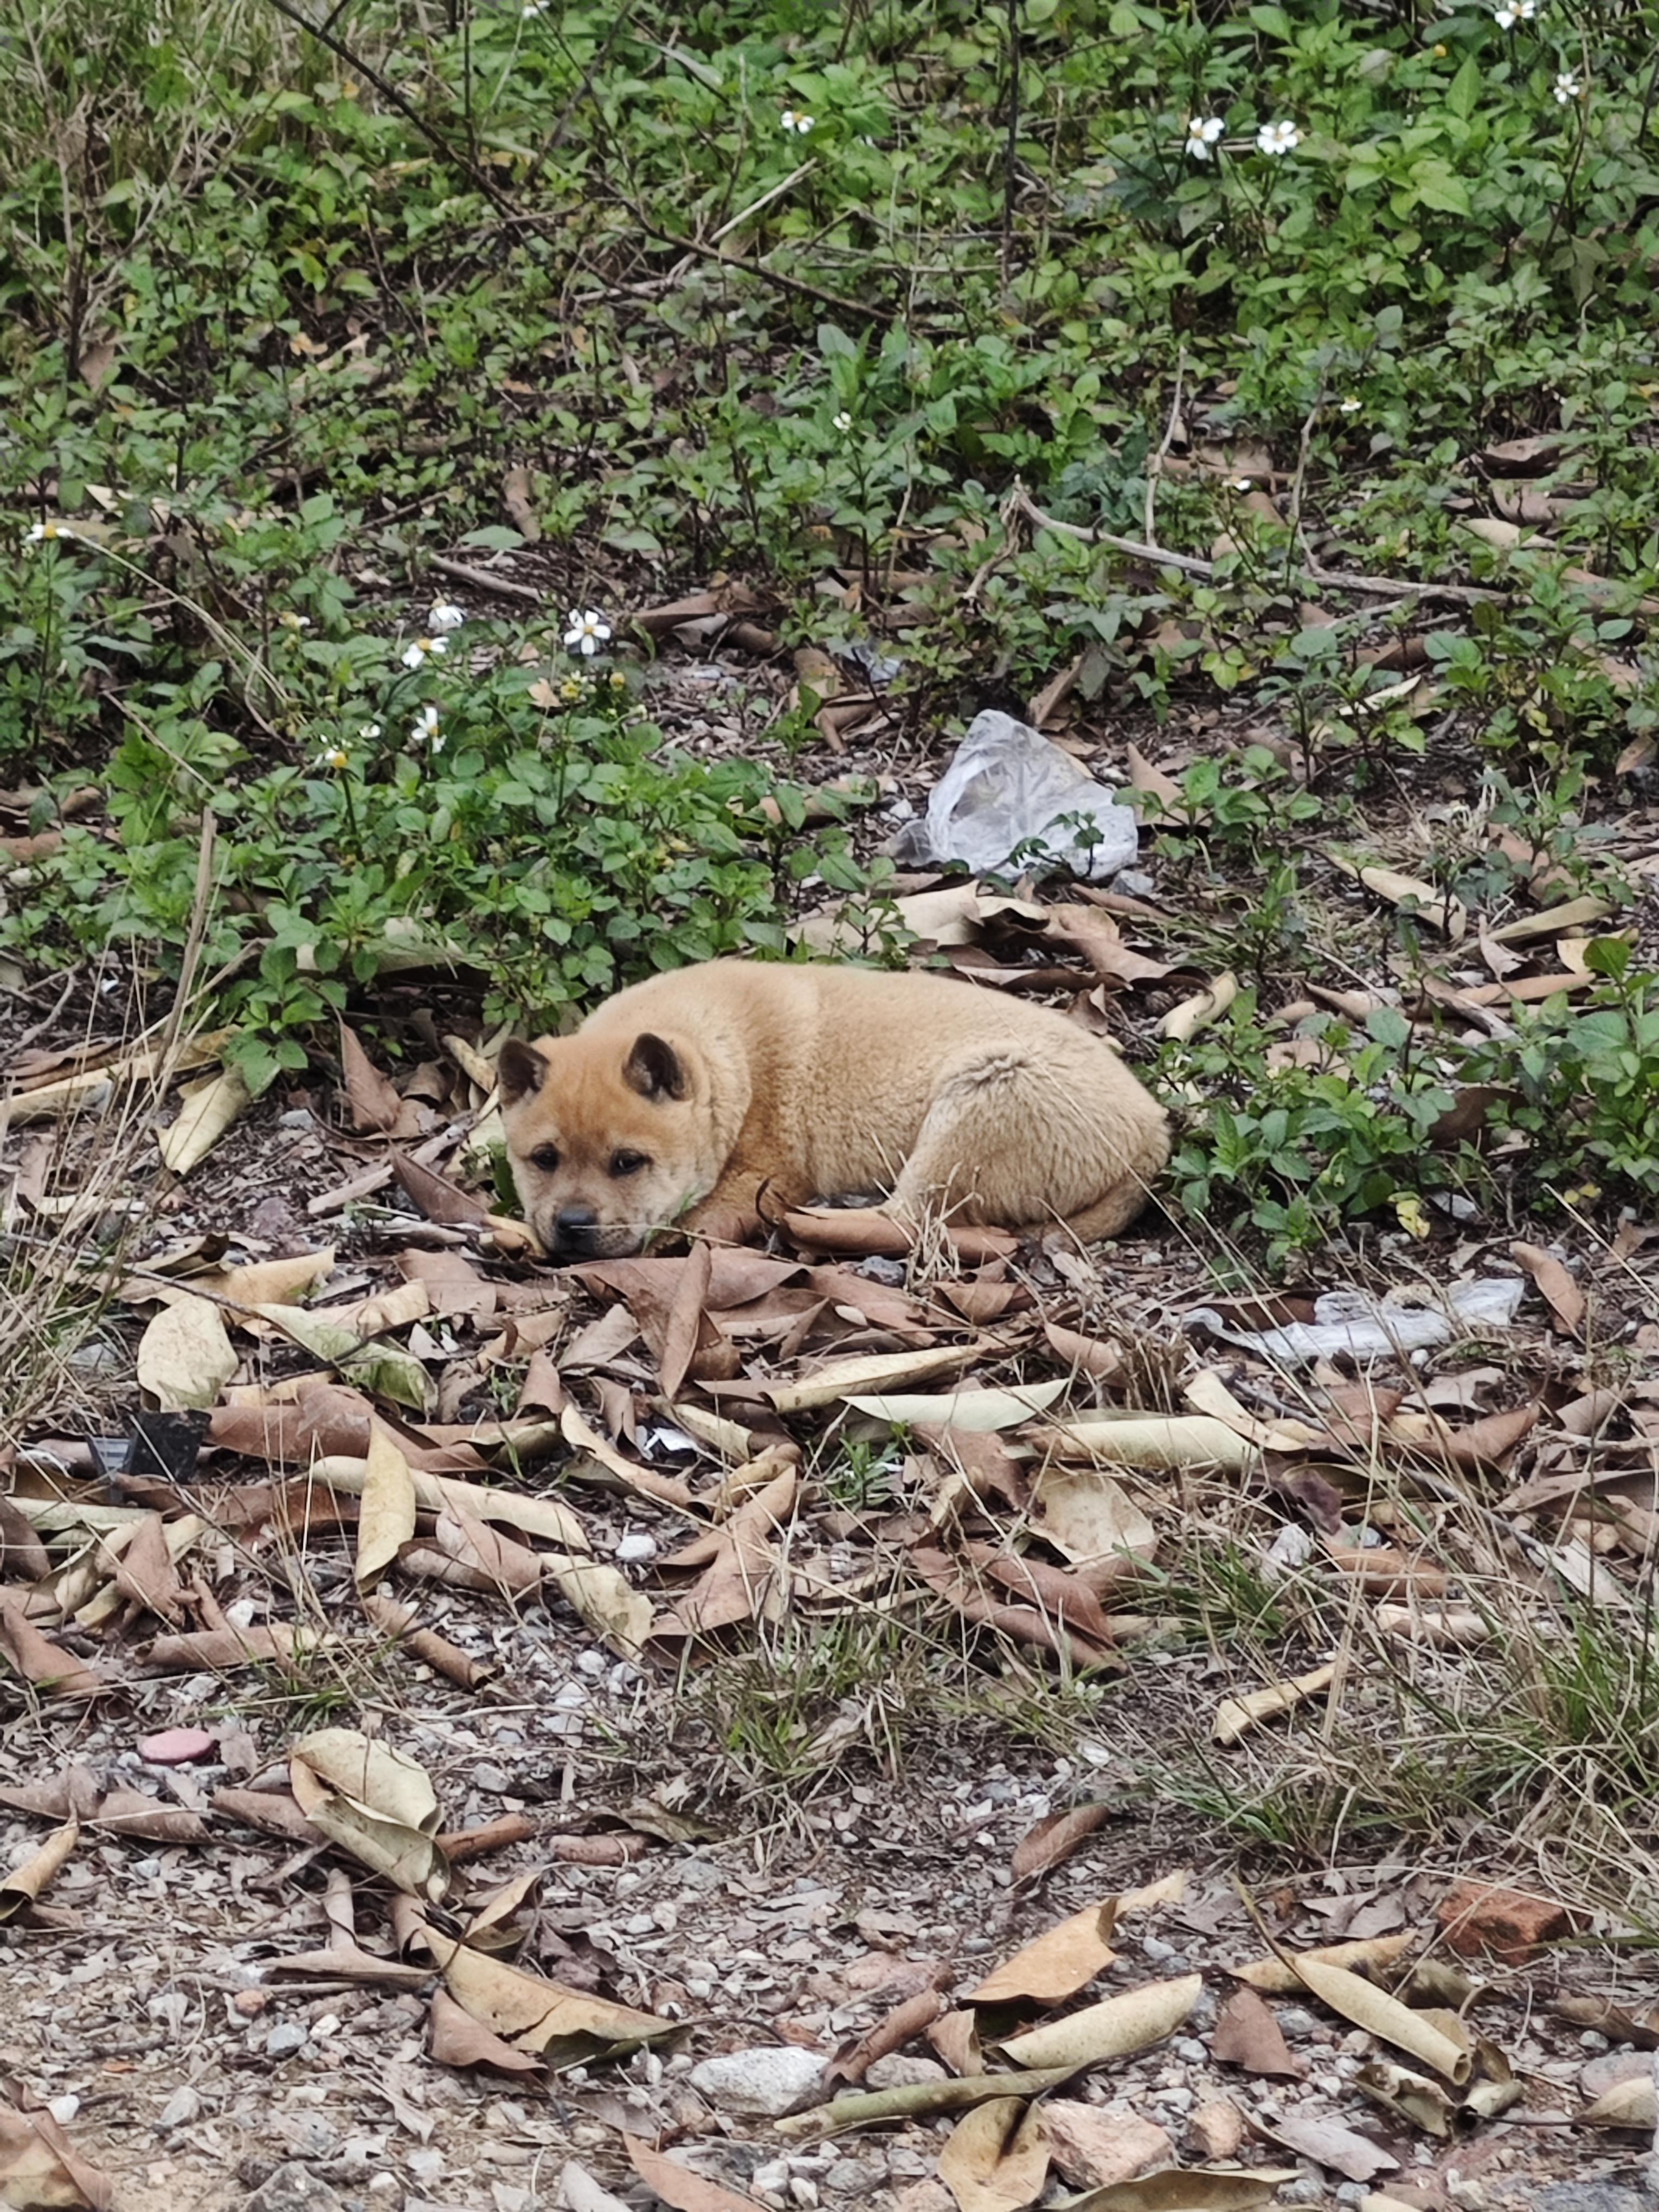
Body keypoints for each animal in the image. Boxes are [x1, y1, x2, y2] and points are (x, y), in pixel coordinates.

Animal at [504, 955, 1168, 1265]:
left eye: (628, 1163)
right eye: (544, 1159)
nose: (573, 1226)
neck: (725, 1057)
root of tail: (1153, 1129)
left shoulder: (758, 1175)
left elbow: (692, 1223)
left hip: (984, 1095)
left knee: (906, 1220)